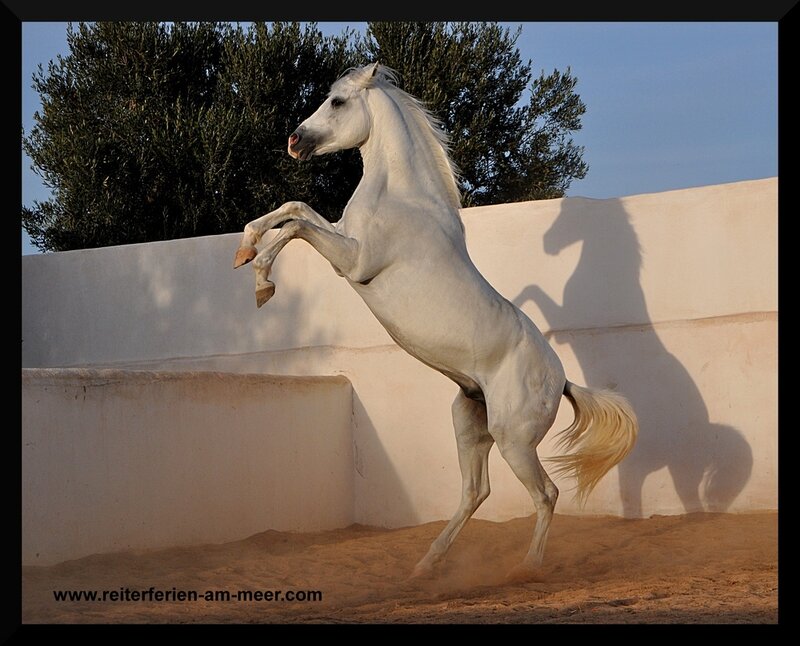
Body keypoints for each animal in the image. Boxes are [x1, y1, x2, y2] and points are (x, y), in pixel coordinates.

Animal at [233, 63, 638, 579]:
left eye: (338, 102)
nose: (295, 141)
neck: (401, 199)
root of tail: (561, 379)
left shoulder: (353, 262)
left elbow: (297, 226)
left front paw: (262, 282)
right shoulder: (342, 237)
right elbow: (294, 209)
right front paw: (245, 249)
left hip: (514, 439)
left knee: (545, 494)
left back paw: (526, 569)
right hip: (470, 422)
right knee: (475, 491)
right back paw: (425, 566)